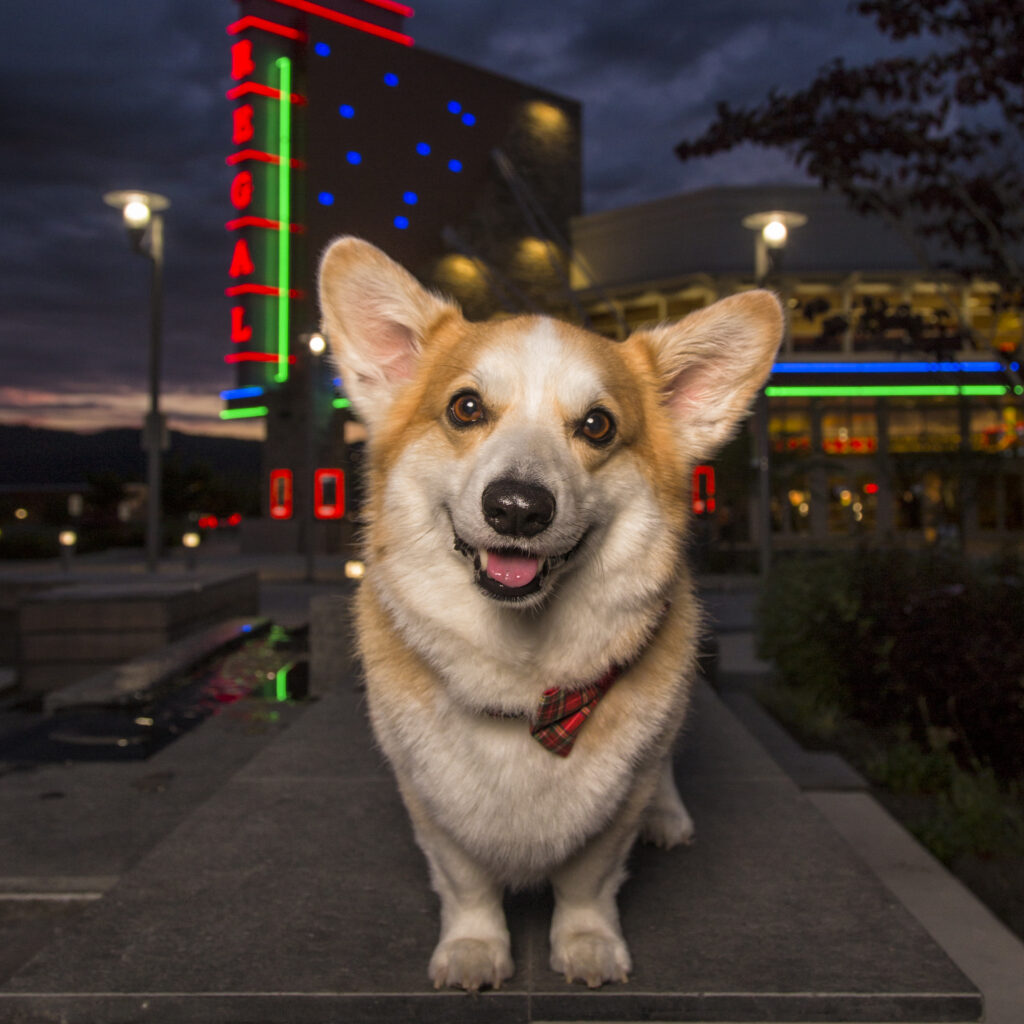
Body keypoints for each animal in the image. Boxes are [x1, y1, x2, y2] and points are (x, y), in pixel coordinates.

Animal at [315, 237, 778, 991]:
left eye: (597, 425)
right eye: (466, 408)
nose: (517, 509)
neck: (525, 673)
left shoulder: (618, 801)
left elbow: (588, 880)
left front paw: (586, 944)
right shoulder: (430, 801)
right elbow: (465, 881)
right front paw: (474, 948)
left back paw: (669, 816)